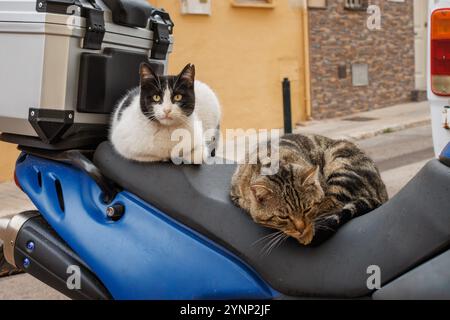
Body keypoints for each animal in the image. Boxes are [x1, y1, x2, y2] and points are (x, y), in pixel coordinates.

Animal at [230, 134, 388, 246]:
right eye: (283, 217)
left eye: (307, 209)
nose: (301, 229)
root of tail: (383, 194)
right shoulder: (235, 194)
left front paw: (308, 232)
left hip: (341, 163)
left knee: (336, 204)